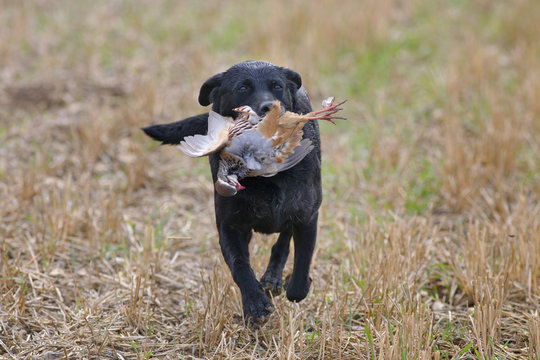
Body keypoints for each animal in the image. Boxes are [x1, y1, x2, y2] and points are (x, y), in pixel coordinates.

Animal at [141, 62, 322, 324]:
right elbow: (240, 267)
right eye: (242, 87)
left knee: (284, 240)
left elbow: (300, 270)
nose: (268, 107)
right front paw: (255, 304)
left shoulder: (307, 217)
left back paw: (273, 278)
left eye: (277, 86)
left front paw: (295, 284)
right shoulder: (230, 226)